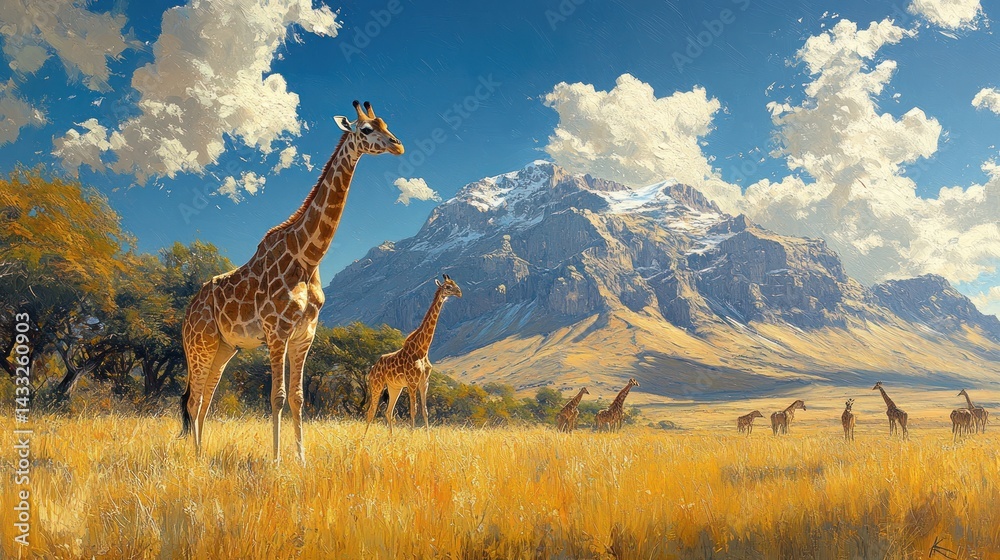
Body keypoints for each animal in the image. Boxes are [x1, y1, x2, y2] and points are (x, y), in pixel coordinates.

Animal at [180, 101, 404, 463]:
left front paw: (301, 458)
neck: (308, 257)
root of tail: (187, 313)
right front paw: (276, 460)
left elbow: (298, 397)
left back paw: (202, 453)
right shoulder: (277, 332)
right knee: (193, 399)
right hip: (199, 344)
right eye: (367, 129)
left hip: (224, 348)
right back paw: (195, 458)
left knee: (205, 401)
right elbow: (278, 397)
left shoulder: (304, 335)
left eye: (386, 123)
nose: (398, 145)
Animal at [364, 275, 462, 434]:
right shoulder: (412, 382)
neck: (422, 350)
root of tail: (372, 368)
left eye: (454, 284)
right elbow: (413, 410)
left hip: (394, 387)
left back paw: (391, 438)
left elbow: (425, 411)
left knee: (388, 411)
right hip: (376, 384)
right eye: (448, 286)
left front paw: (427, 437)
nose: (459, 292)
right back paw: (363, 438)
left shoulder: (424, 382)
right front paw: (411, 435)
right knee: (371, 412)